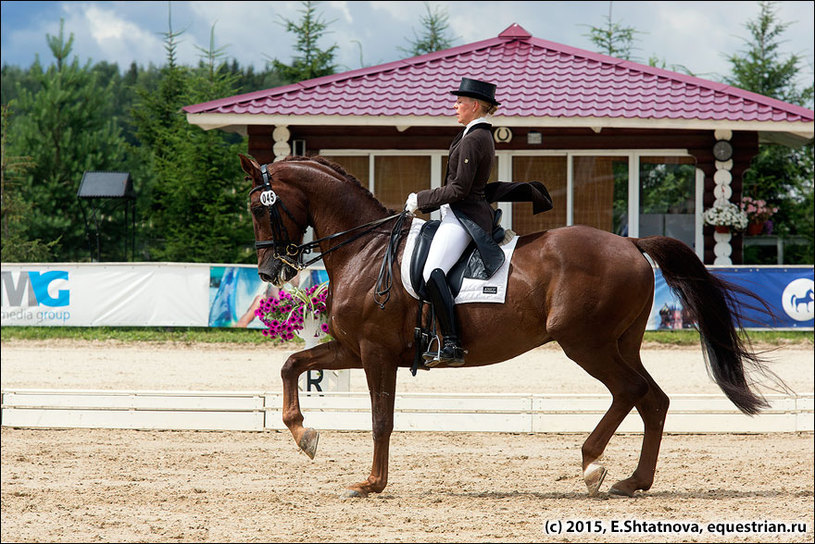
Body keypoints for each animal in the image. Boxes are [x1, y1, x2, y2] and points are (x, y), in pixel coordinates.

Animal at [241, 152, 784, 498]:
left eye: (257, 207)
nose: (269, 273)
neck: (365, 250)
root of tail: (630, 242)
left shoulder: (375, 352)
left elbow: (381, 419)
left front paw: (371, 483)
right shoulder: (353, 349)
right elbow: (293, 364)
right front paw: (304, 435)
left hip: (584, 342)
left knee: (630, 392)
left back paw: (593, 464)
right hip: (619, 342)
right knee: (654, 399)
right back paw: (633, 481)